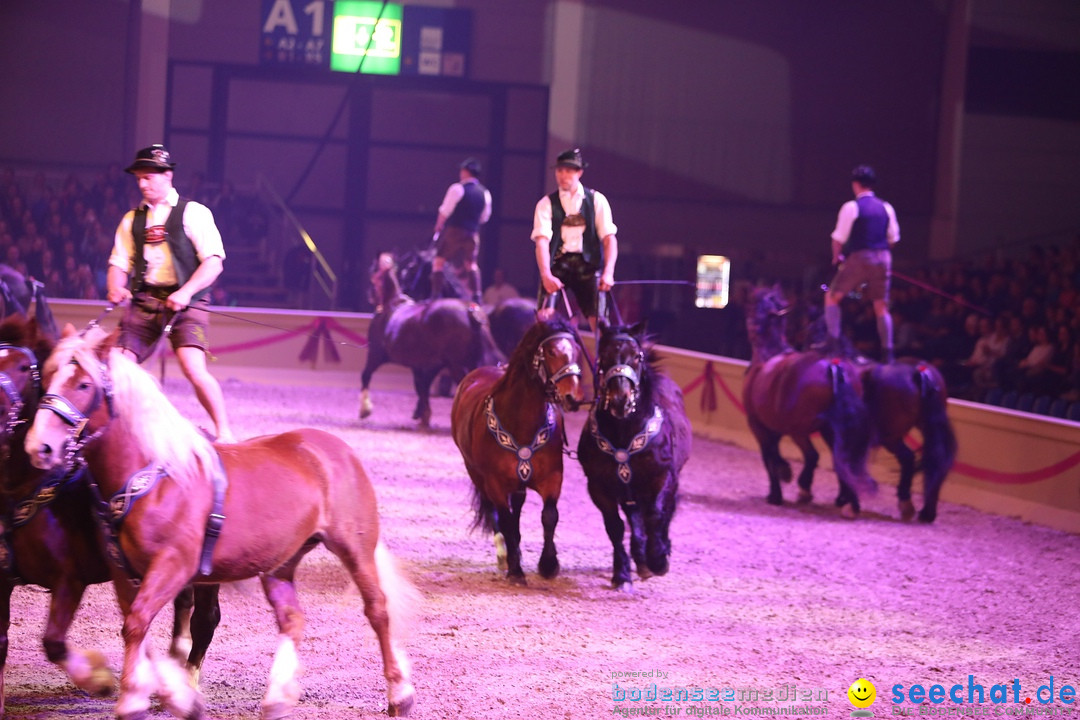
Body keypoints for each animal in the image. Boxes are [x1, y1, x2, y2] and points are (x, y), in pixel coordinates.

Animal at [22, 328, 416, 720]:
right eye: (48, 378)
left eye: (84, 384)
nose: (40, 447)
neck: (153, 476)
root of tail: (335, 448)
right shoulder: (124, 572)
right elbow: (138, 628)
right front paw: (176, 695)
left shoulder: (174, 566)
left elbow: (137, 624)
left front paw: (135, 700)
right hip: (280, 562)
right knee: (291, 618)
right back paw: (278, 698)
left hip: (354, 547)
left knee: (377, 609)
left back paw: (400, 694)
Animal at [358, 252, 501, 425]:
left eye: (372, 271)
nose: (369, 294)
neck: (391, 304)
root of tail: (470, 311)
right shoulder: (421, 365)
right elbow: (421, 386)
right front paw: (423, 415)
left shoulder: (375, 354)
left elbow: (365, 375)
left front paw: (364, 409)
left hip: (457, 365)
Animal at [451, 317, 587, 587]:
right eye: (551, 351)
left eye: (577, 350)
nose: (573, 397)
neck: (521, 423)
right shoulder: (495, 483)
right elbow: (504, 519)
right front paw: (515, 570)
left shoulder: (552, 478)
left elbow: (549, 516)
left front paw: (549, 564)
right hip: (476, 474)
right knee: (494, 512)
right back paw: (505, 555)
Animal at [578, 323, 695, 595]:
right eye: (604, 355)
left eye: (636, 356)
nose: (620, 399)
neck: (624, 432)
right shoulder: (598, 486)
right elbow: (615, 527)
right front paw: (622, 575)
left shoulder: (660, 478)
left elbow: (656, 516)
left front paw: (658, 561)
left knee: (663, 515)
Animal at [743, 287, 876, 518]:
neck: (769, 354)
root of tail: (833, 365)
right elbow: (772, 455)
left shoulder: (758, 425)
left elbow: (769, 457)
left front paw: (779, 486)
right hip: (830, 430)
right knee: (843, 460)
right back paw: (851, 502)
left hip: (800, 430)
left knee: (813, 456)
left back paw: (806, 488)